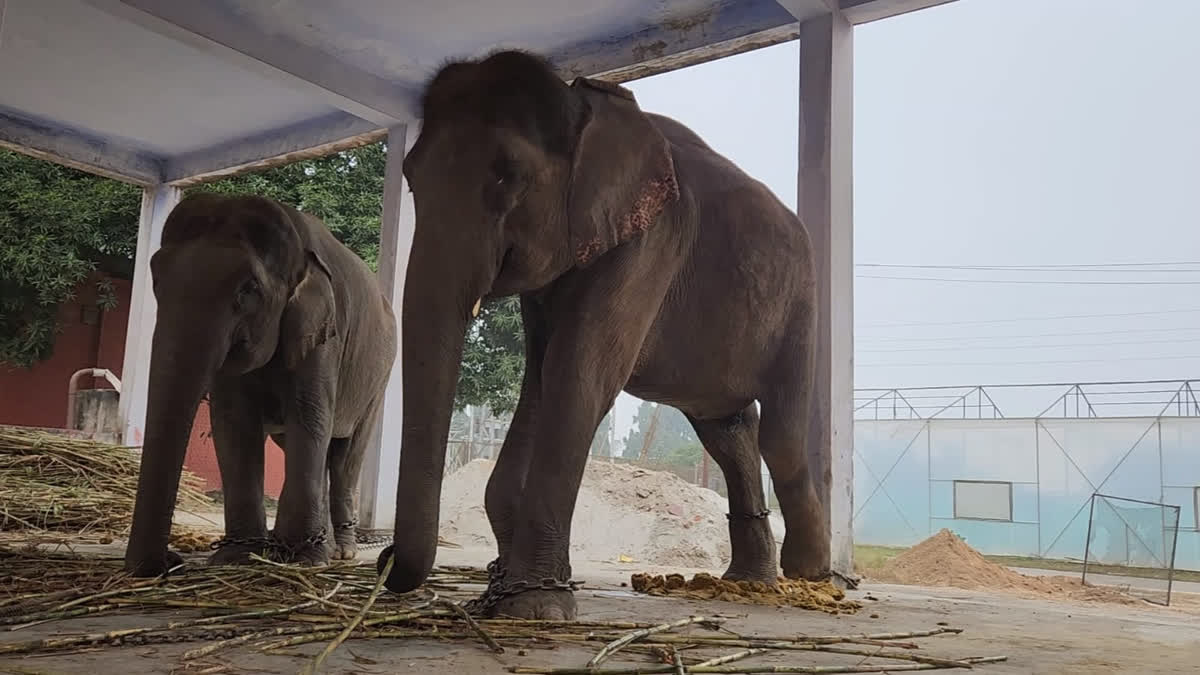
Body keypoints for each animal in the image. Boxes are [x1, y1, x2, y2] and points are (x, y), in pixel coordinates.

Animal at [125, 192, 398, 576]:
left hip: (378, 380)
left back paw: (341, 551)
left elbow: (308, 416)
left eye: (248, 288)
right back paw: (323, 544)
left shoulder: (324, 335)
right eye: (156, 280)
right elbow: (234, 425)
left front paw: (302, 558)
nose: (169, 561)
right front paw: (239, 556)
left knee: (346, 454)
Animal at [379, 51, 830, 619]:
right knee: (727, 432)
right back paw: (751, 581)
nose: (384, 559)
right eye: (410, 177)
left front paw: (534, 607)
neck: (584, 105)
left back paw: (812, 575)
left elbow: (580, 375)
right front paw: (509, 582)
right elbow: (542, 378)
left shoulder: (650, 243)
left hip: (801, 303)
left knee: (781, 435)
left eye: (509, 176)